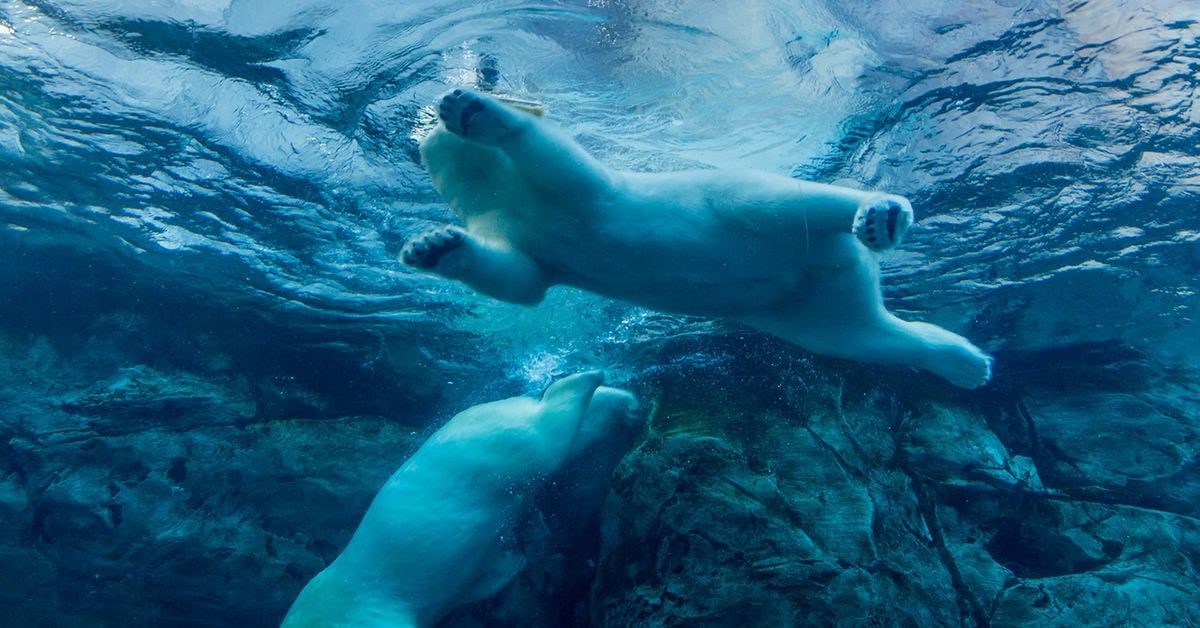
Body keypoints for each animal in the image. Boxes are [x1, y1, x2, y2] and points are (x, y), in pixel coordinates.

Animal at [282, 374, 643, 628]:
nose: (634, 404)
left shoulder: (369, 611)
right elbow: (475, 581)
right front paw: (512, 559)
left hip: (490, 450)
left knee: (546, 436)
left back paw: (588, 380)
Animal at [403, 88, 993, 389]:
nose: (424, 125)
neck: (510, 198)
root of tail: (843, 261)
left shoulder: (583, 195)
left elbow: (562, 166)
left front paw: (475, 112)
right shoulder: (522, 235)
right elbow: (522, 280)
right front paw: (432, 246)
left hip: (733, 201)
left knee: (778, 201)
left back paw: (881, 213)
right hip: (806, 305)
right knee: (860, 334)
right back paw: (965, 362)